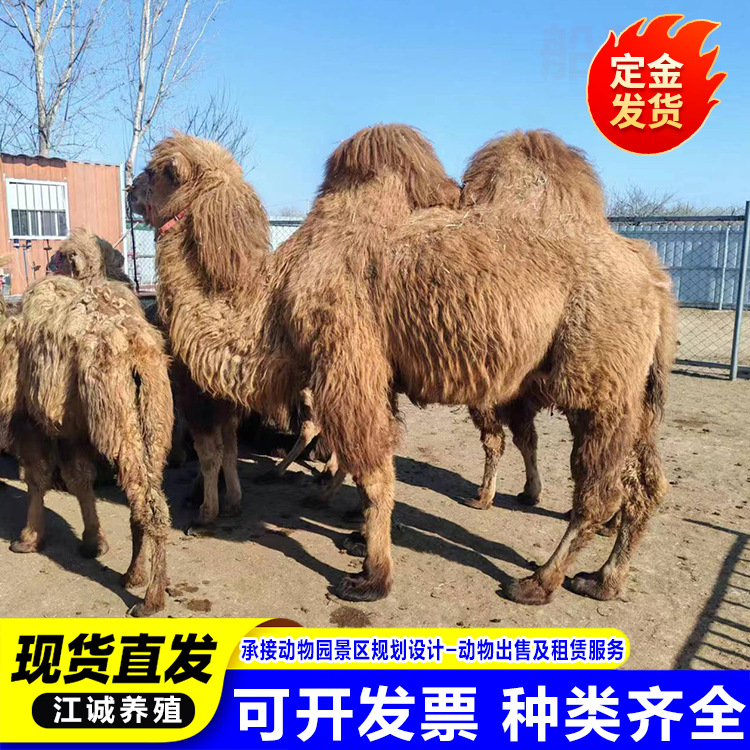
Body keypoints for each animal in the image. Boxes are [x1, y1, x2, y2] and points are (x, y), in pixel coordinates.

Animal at [0, 228, 173, 616]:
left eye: (62, 256)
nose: (51, 261)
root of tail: (135, 347)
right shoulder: (71, 427)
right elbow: (79, 478)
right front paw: (94, 542)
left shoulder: (29, 418)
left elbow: (38, 477)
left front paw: (28, 539)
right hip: (154, 420)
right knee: (148, 497)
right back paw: (134, 575)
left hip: (118, 421)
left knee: (147, 504)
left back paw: (149, 599)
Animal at [130, 126, 675, 607]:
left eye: (158, 171)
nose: (131, 189)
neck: (272, 296)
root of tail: (651, 270)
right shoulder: (379, 373)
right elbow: (371, 462)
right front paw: (356, 537)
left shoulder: (346, 357)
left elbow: (373, 471)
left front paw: (372, 577)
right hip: (639, 391)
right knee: (646, 485)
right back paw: (603, 580)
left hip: (598, 379)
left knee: (599, 491)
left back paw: (537, 583)